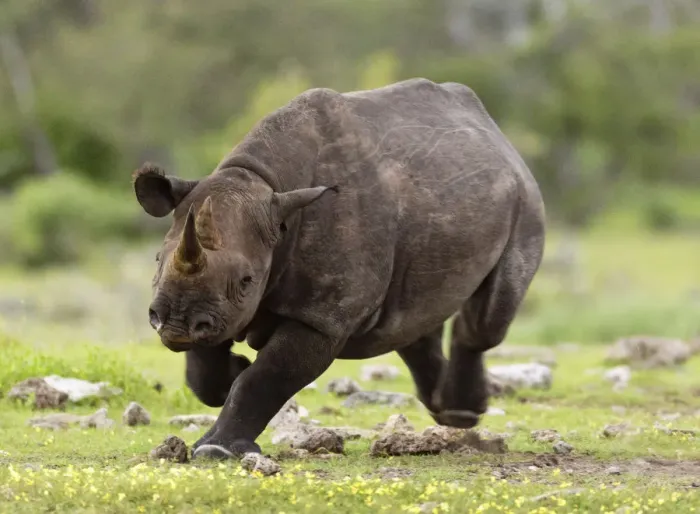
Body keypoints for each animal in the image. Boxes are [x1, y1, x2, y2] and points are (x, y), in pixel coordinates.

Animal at [133, 78, 545, 460]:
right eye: (156, 261)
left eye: (247, 280)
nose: (175, 323)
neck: (264, 184)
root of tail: (496, 134)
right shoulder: (215, 307)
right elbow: (205, 366)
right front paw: (230, 373)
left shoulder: (322, 318)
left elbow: (267, 376)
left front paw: (215, 450)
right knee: (411, 317)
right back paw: (450, 411)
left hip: (526, 201)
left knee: (487, 317)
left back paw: (461, 414)